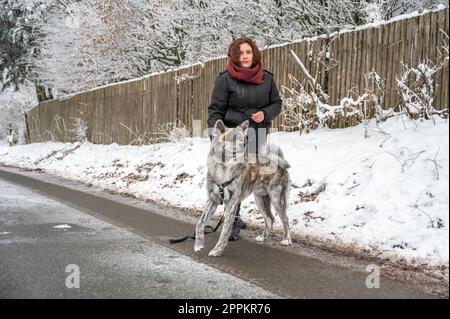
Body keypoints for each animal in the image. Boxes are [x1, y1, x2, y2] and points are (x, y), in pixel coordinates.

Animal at [193, 120, 292, 258]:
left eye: (243, 139)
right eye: (233, 138)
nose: (244, 145)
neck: (224, 167)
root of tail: (277, 162)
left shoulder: (231, 203)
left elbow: (225, 231)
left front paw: (217, 250)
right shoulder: (212, 200)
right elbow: (200, 223)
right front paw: (198, 244)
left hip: (277, 199)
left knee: (285, 219)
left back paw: (287, 239)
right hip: (260, 199)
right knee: (270, 218)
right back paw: (263, 237)